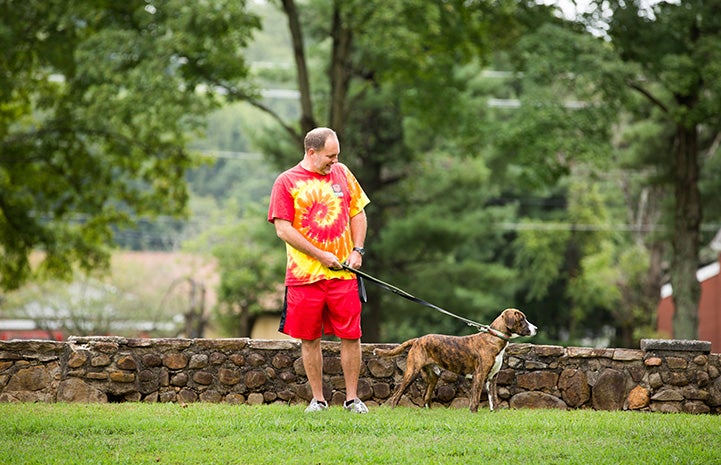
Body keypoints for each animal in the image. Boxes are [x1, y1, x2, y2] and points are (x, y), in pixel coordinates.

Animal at [376, 308, 536, 410]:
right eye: (522, 319)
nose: (536, 329)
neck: (494, 338)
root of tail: (417, 340)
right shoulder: (479, 375)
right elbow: (475, 401)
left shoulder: (492, 378)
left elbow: (494, 401)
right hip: (412, 371)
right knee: (396, 395)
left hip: (433, 376)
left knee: (426, 397)